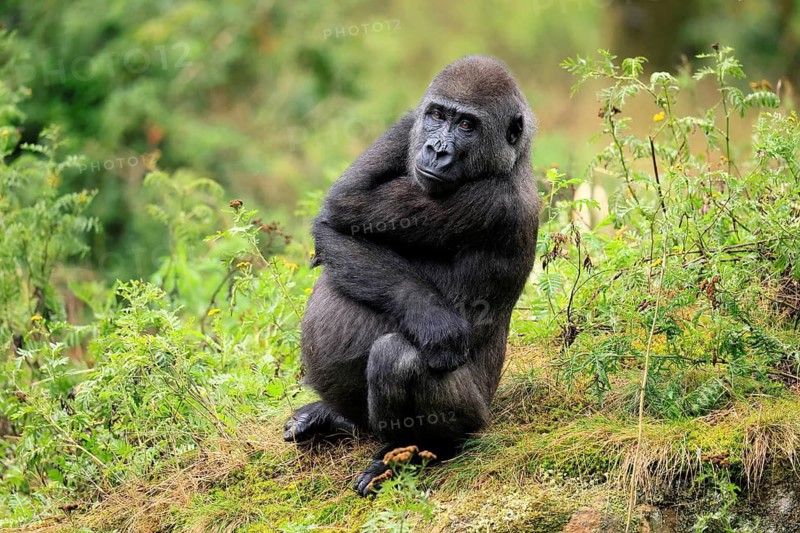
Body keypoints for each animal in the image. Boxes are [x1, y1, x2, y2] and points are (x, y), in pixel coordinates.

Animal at [284, 56, 540, 496]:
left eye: (467, 125)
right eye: (437, 116)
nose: (436, 149)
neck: (513, 158)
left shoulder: (492, 201)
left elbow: (347, 214)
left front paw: (437, 327)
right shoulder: (408, 124)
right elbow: (338, 217)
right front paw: (433, 319)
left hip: (476, 417)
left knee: (397, 358)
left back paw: (413, 453)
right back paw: (334, 418)